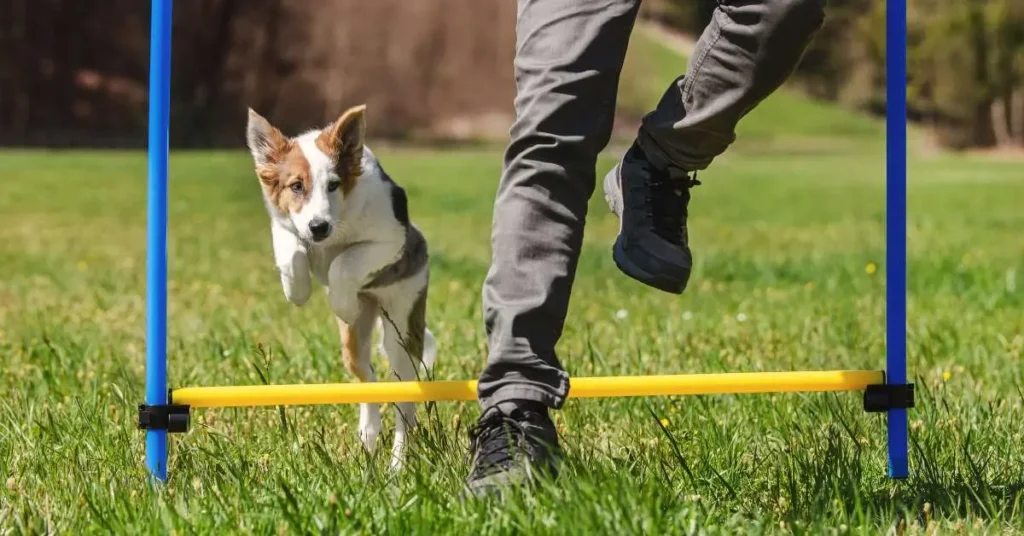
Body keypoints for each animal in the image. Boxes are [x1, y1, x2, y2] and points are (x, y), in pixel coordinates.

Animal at [248, 104, 440, 469]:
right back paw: (367, 438)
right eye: (296, 186)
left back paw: (397, 465)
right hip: (353, 343)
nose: (318, 227)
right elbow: (292, 251)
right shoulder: (284, 224)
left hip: (401, 331)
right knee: (369, 381)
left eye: (334, 185)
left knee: (403, 406)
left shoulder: (389, 238)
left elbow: (343, 262)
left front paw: (343, 303)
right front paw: (297, 290)